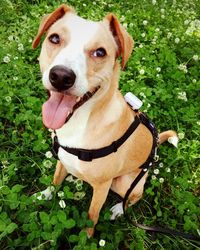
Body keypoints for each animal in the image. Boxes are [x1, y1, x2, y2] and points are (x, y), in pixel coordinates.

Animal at [32, 4, 178, 237]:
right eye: (54, 38)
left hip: (124, 183)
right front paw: (45, 194)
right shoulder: (61, 160)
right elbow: (54, 181)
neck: (79, 122)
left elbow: (92, 214)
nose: (61, 76)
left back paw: (119, 209)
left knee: (134, 197)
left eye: (100, 52)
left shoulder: (102, 186)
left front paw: (86, 237)